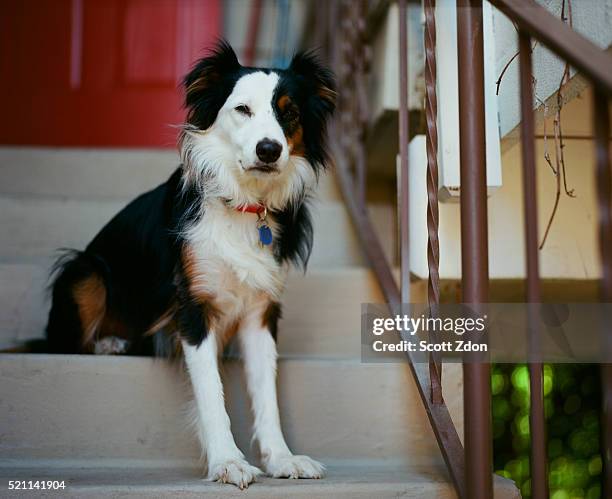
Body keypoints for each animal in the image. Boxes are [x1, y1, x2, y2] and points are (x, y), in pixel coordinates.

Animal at [41, 42, 338, 488]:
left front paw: (281, 458)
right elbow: (211, 393)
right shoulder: (194, 310)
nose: (269, 150)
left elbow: (266, 395)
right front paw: (227, 462)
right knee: (62, 341)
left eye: (289, 113)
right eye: (242, 109)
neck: (245, 206)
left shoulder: (260, 313)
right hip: (85, 271)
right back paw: (109, 343)